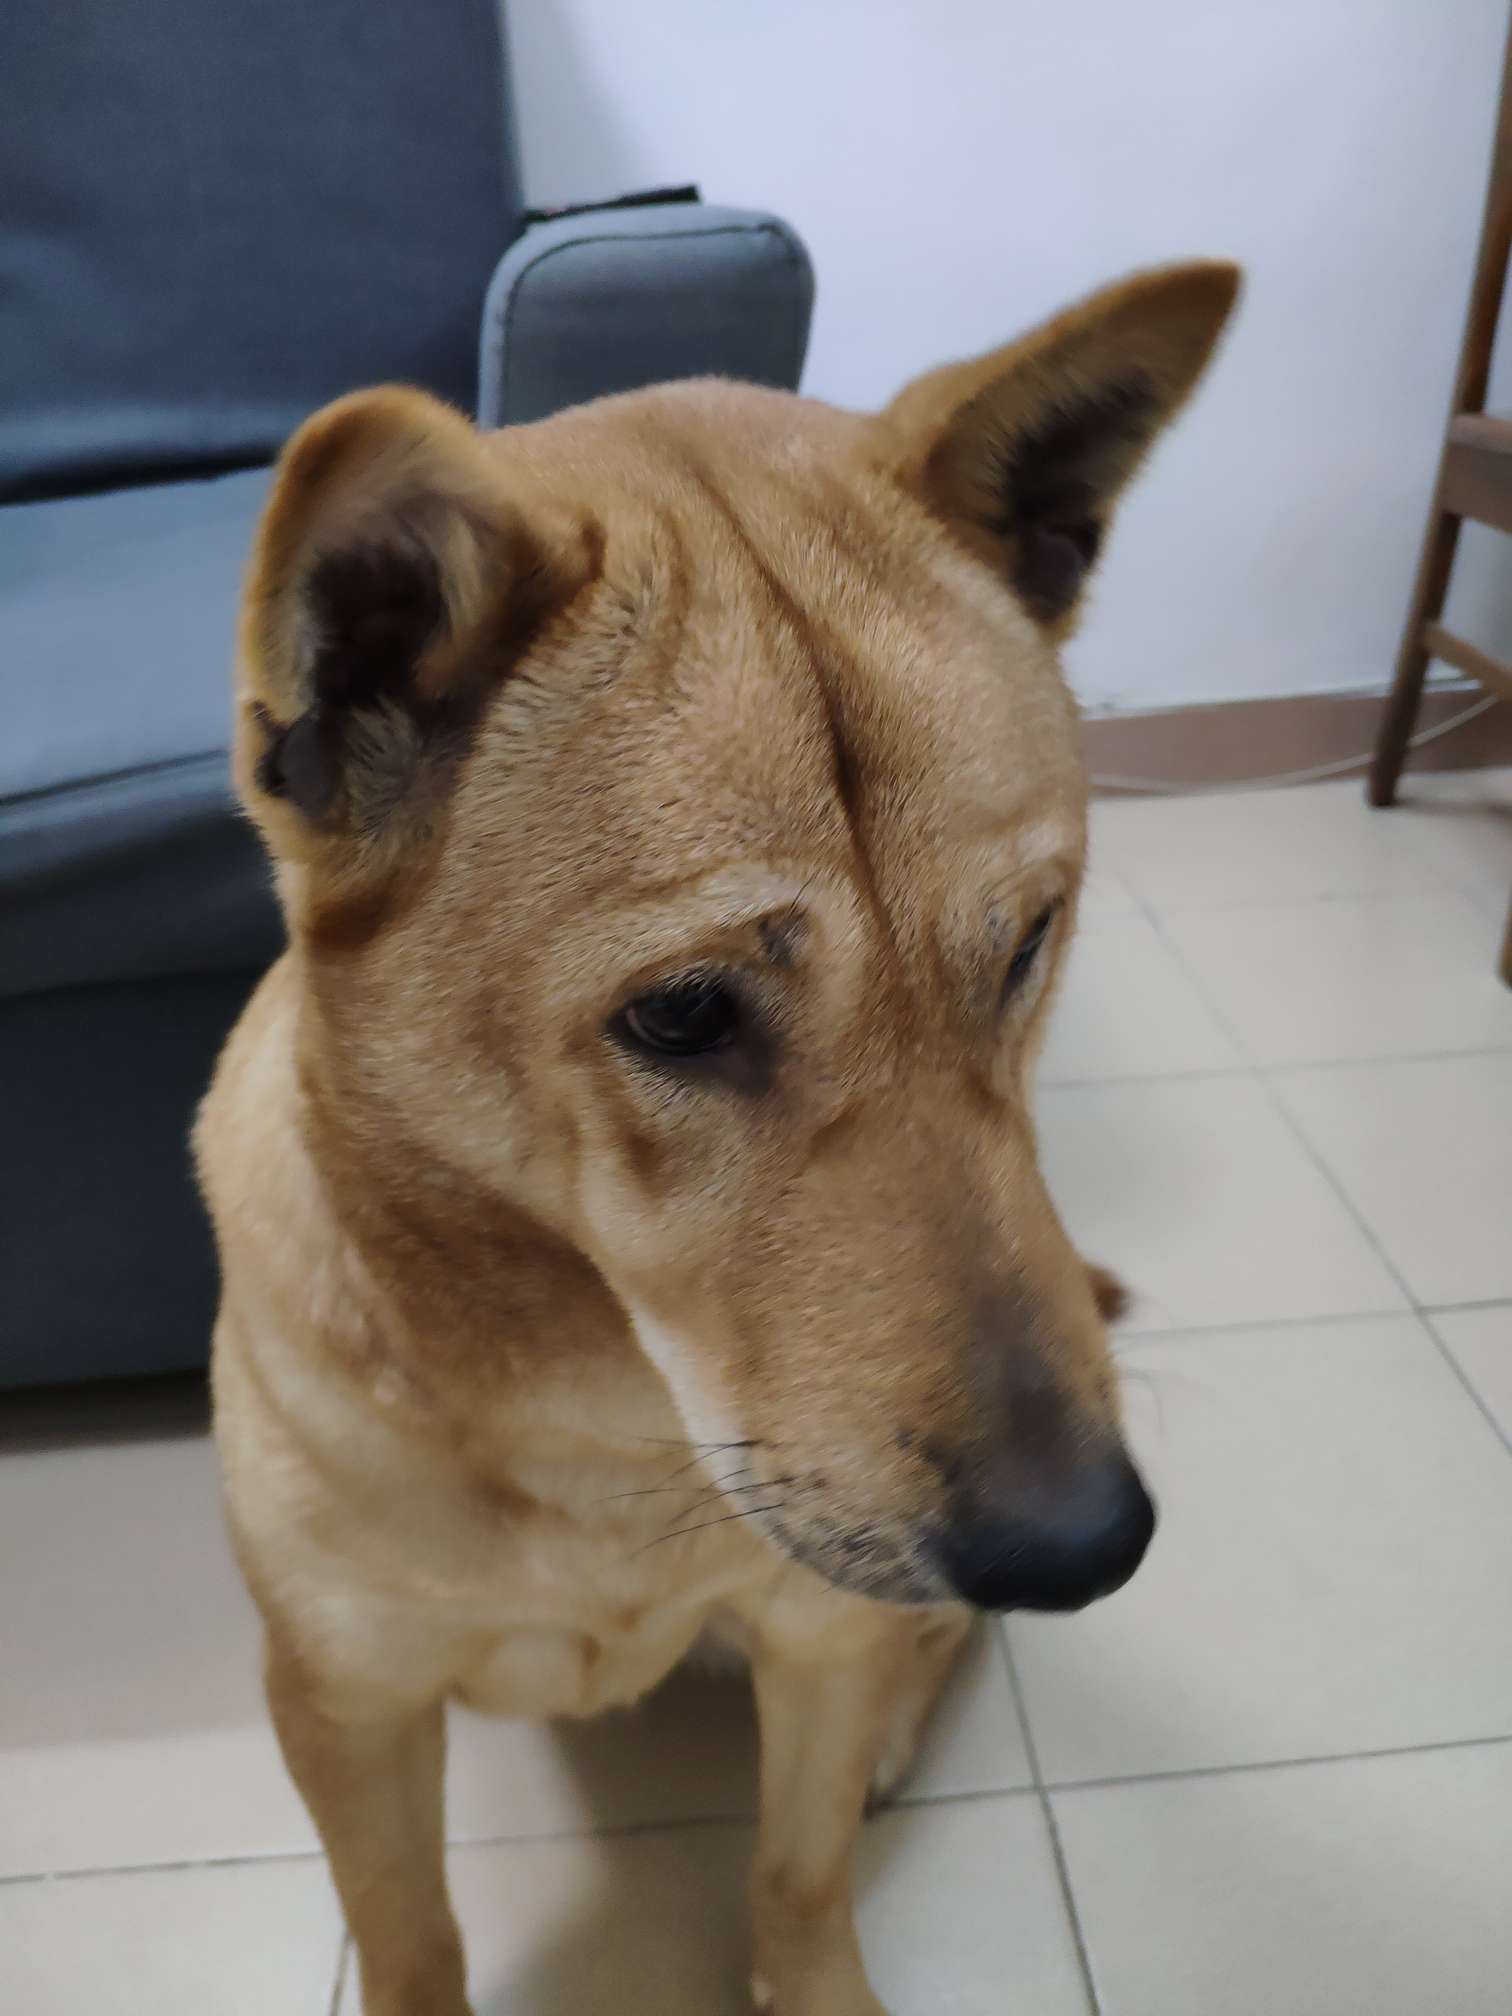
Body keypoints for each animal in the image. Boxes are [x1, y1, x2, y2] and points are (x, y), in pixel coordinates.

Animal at [196, 259, 1237, 2016]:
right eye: (682, 1016)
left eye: (1029, 942)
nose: (1085, 1547)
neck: (605, 1425)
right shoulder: (344, 1701)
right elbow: (411, 1937)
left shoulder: (818, 1631)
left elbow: (798, 1879)